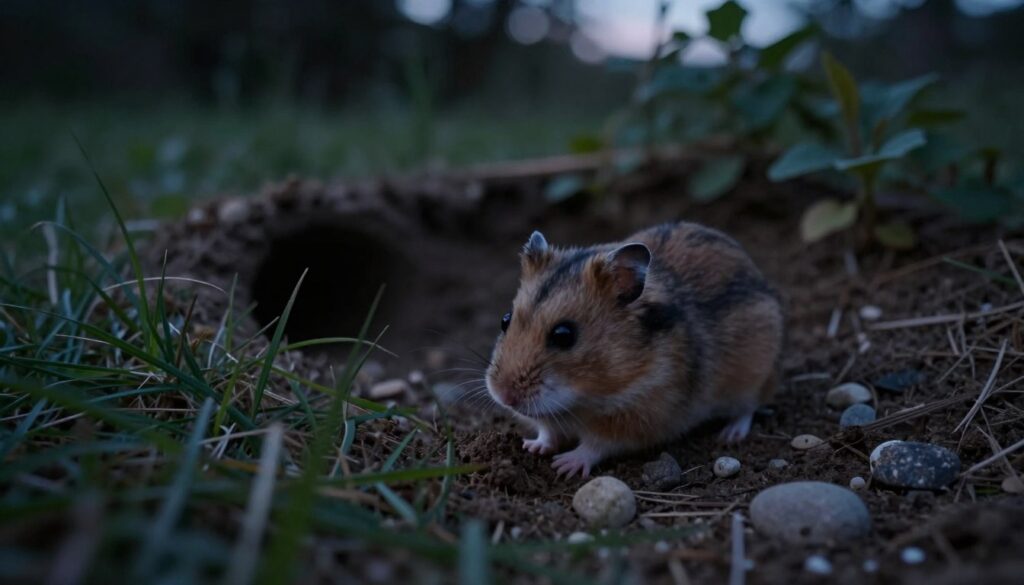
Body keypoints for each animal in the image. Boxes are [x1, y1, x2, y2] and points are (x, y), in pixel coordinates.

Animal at [484, 222, 783, 478]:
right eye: (505, 320)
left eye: (564, 335)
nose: (504, 396)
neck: (583, 399)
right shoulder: (551, 419)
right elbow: (548, 433)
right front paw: (530, 446)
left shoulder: (637, 418)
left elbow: (596, 445)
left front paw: (564, 466)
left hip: (753, 375)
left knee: (749, 407)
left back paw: (730, 435)